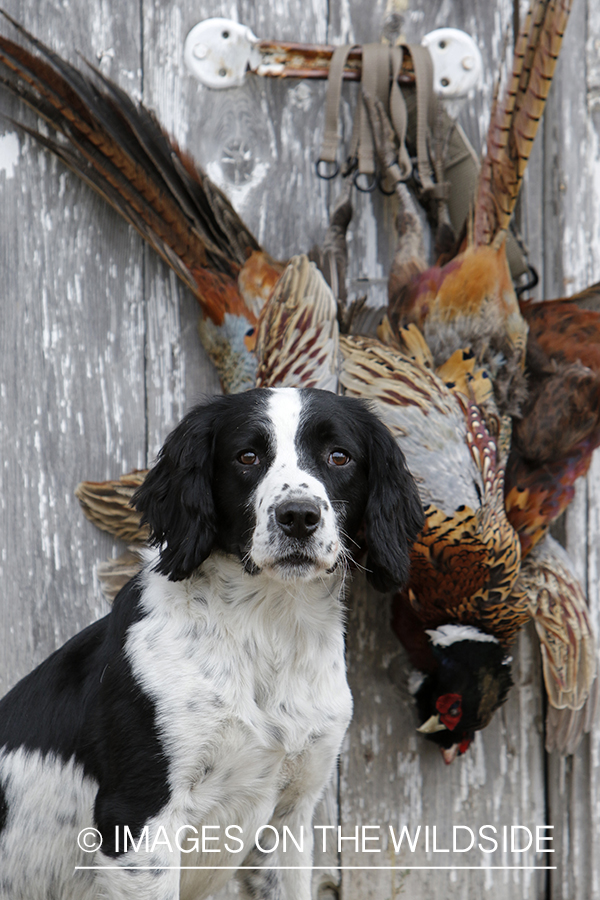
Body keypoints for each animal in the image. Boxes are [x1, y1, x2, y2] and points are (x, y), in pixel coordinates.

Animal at [0, 388, 422, 900]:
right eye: (247, 456)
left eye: (339, 456)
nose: (298, 516)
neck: (269, 629)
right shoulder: (138, 817)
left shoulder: (290, 817)